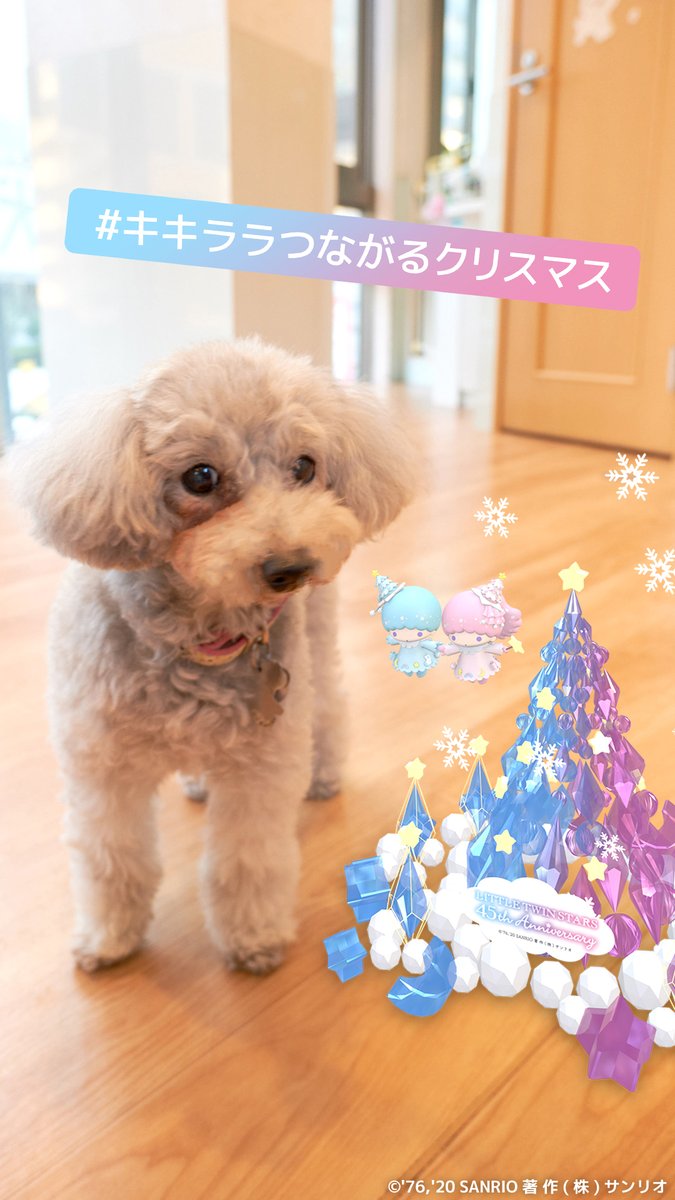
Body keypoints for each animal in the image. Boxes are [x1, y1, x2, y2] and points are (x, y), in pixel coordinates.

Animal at [11, 338, 414, 974]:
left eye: (305, 467)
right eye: (200, 476)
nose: (291, 568)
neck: (196, 638)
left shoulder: (260, 768)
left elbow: (246, 863)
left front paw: (253, 939)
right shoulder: (102, 767)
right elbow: (111, 860)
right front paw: (109, 939)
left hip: (316, 645)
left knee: (329, 706)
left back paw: (323, 775)